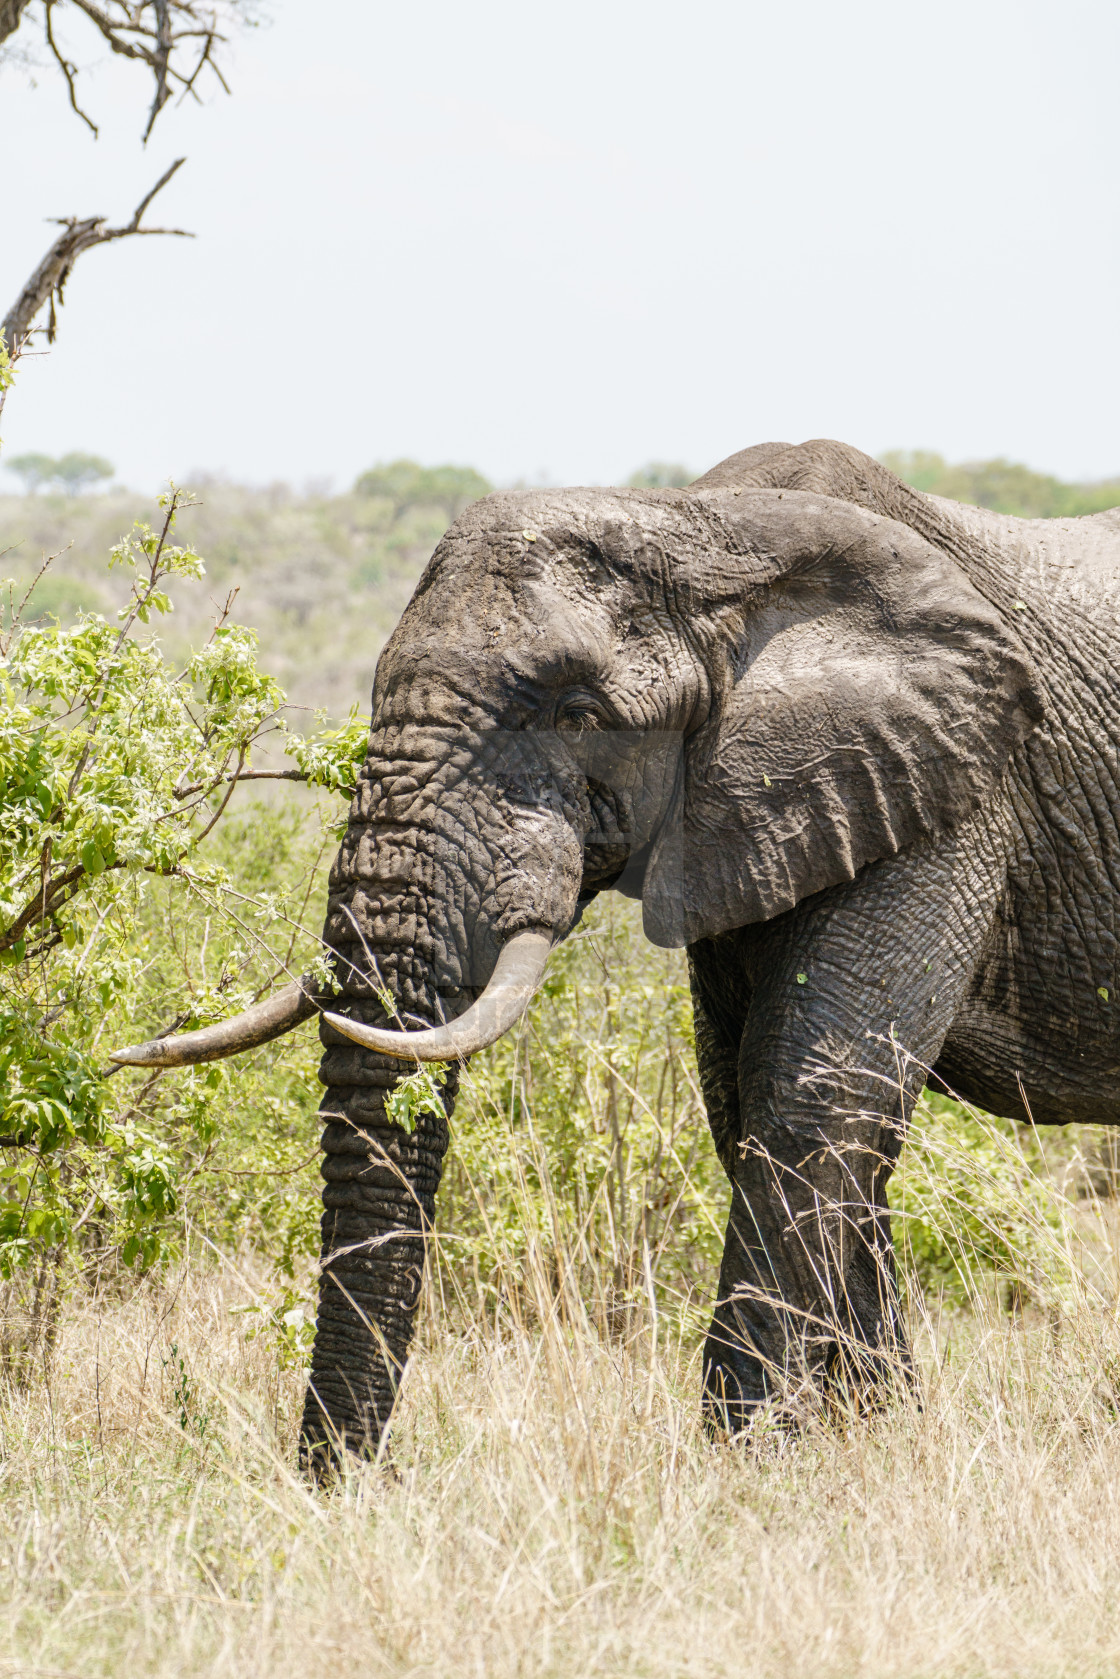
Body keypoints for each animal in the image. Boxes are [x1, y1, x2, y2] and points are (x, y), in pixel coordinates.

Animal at [111, 439, 1120, 1464]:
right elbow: (752, 1099)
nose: (340, 1482)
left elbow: (820, 1087)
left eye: (577, 715)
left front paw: (746, 1460)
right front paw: (865, 1435)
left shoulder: (949, 785)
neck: (702, 527)